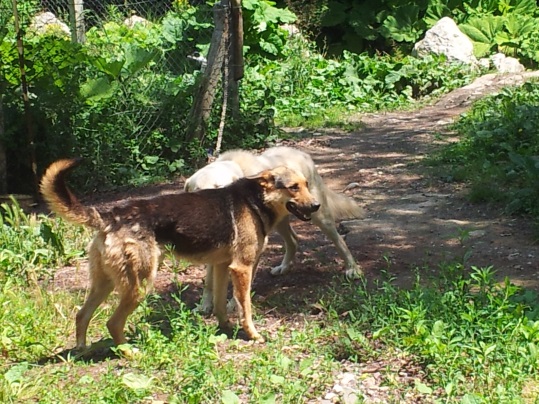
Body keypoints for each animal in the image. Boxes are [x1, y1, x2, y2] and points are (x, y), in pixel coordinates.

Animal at [43, 158, 320, 348]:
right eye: (293, 188)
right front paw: (252, 335)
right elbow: (246, 308)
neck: (253, 200)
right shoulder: (242, 268)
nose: (316, 205)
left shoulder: (222, 267)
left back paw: (82, 350)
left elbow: (220, 303)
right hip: (140, 285)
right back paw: (129, 353)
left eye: (306, 185)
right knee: (112, 323)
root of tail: (111, 216)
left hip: (106, 283)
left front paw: (225, 328)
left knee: (82, 315)